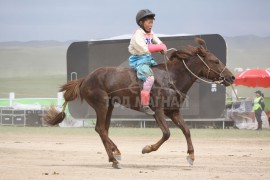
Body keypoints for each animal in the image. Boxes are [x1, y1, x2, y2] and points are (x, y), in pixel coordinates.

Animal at [43, 38, 234, 169]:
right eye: (215, 61)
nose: (231, 77)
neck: (171, 78)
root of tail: (85, 79)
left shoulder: (173, 111)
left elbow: (186, 130)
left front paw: (191, 156)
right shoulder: (158, 111)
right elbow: (166, 134)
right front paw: (147, 148)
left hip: (110, 105)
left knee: (103, 129)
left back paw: (115, 152)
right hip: (101, 104)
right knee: (100, 129)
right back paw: (114, 160)